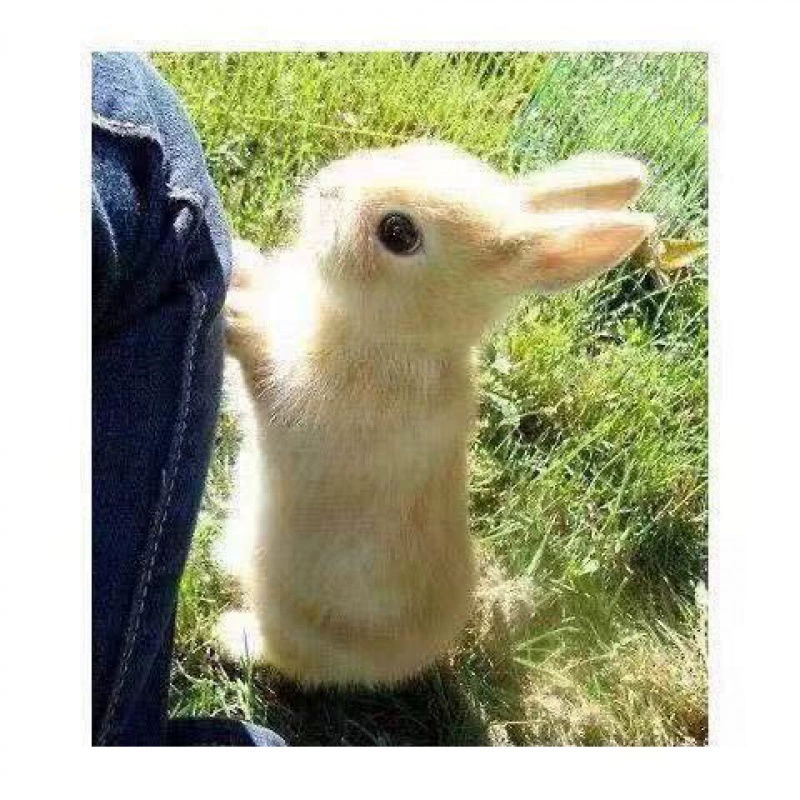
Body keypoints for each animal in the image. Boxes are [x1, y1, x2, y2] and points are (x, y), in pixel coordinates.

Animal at [216, 140, 654, 688]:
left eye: (398, 233)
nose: (325, 186)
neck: (399, 335)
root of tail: (412, 657)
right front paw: (241, 255)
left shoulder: (300, 398)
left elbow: (260, 369)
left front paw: (236, 316)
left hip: (290, 616)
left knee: (288, 656)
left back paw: (231, 637)